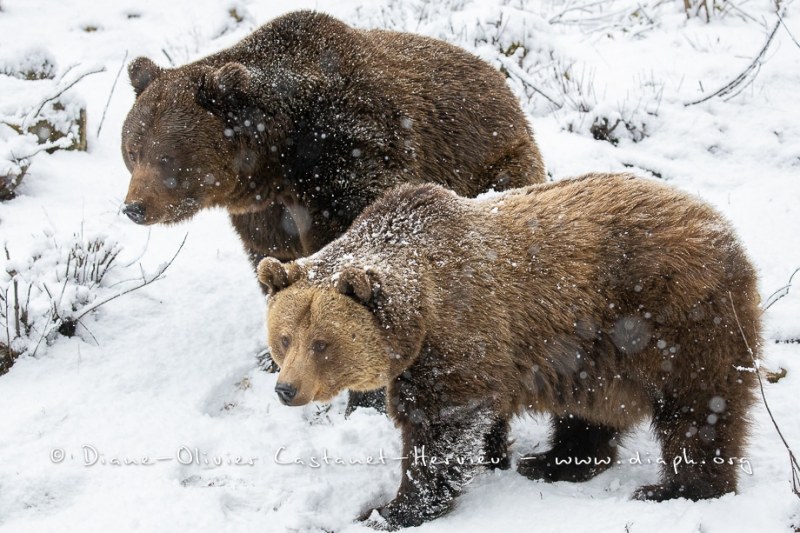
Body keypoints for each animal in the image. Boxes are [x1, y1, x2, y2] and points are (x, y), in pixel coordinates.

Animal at [258, 174, 764, 528]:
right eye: (284, 339)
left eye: (322, 344)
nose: (287, 389)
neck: (421, 314)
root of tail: (722, 227)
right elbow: (481, 416)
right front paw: (494, 455)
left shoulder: (454, 338)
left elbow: (438, 427)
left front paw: (390, 510)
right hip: (592, 352)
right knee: (590, 411)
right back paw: (555, 462)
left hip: (676, 321)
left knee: (700, 408)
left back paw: (676, 488)